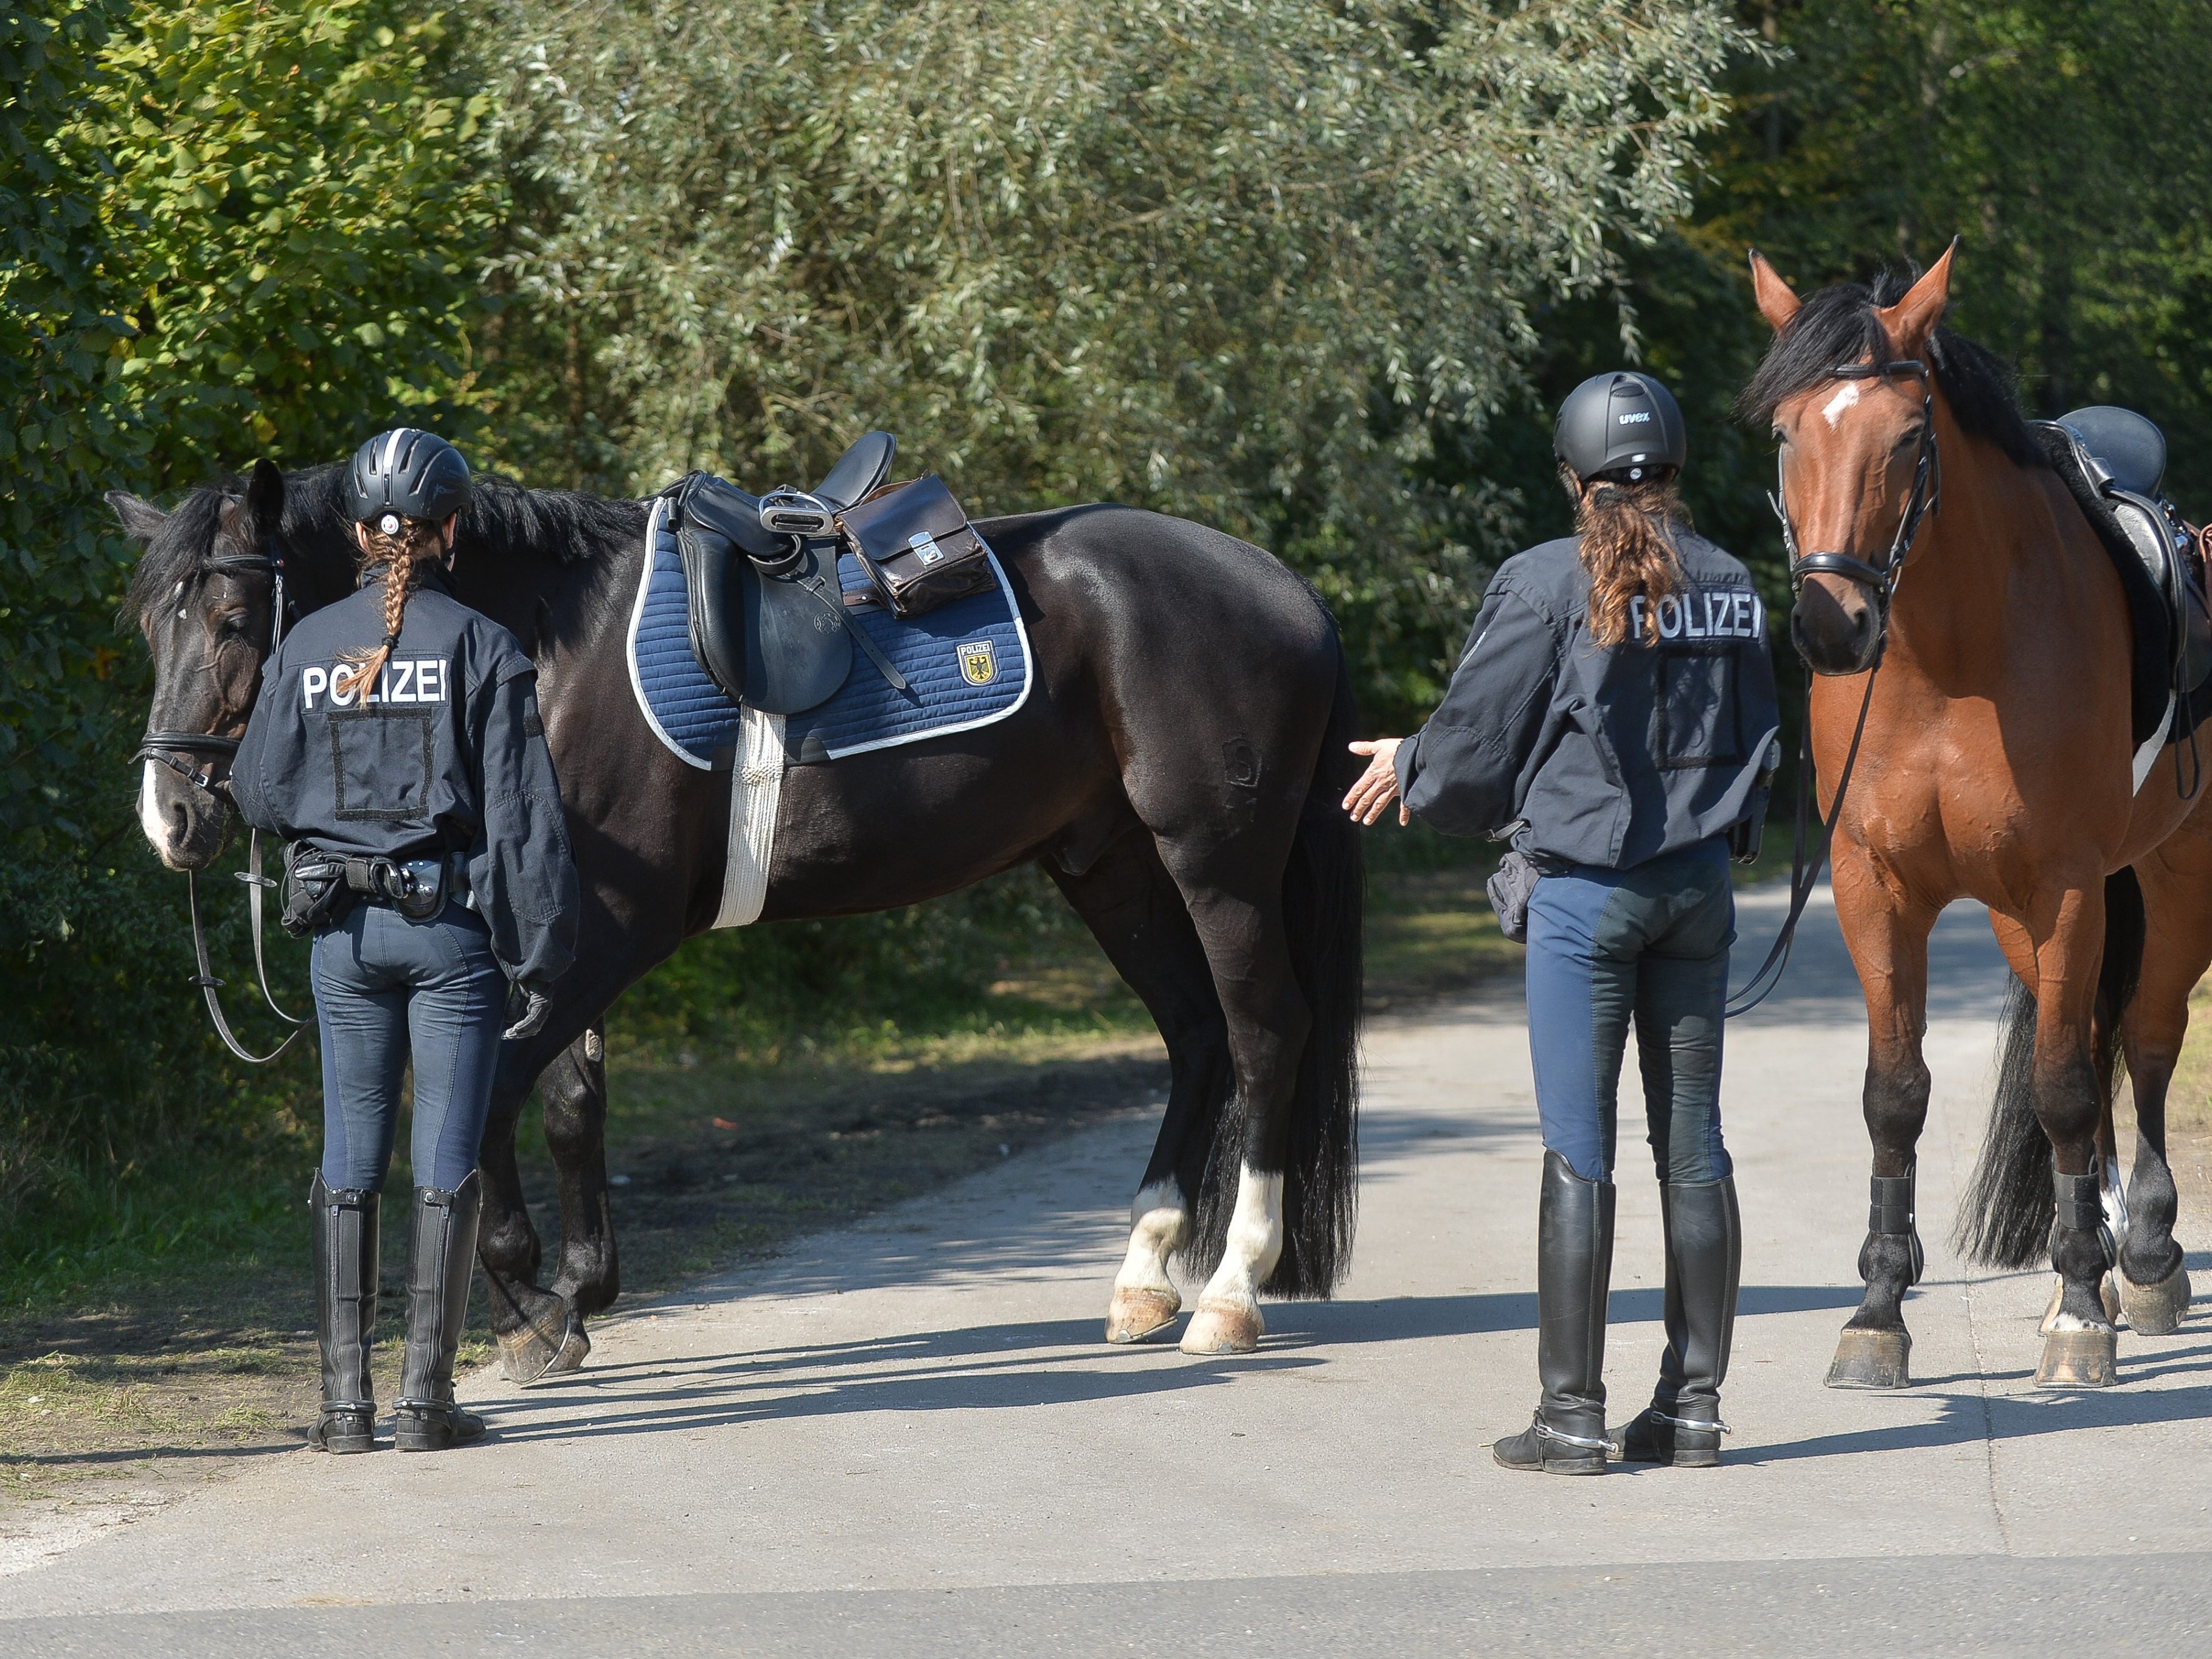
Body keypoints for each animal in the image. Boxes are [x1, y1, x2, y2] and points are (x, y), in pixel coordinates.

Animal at [125, 455, 1362, 1380]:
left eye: (231, 619)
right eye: (148, 629)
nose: (170, 815)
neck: (552, 652)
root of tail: (1286, 589)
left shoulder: (615, 927)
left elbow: (494, 1092)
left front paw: (532, 1305)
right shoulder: (562, 926)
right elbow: (567, 1101)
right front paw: (580, 1289)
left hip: (1216, 862)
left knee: (1263, 1035)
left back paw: (1231, 1292)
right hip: (1108, 864)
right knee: (1195, 1034)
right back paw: (1143, 1277)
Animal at [1752, 243, 2203, 1389]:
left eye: (1909, 439)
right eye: (1785, 433)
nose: (1830, 625)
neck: (1951, 662)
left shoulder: (2067, 886)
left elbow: (2064, 1090)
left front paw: (2081, 1318)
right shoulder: (1875, 887)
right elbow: (1895, 1093)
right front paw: (1877, 1311)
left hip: (2177, 883)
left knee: (2142, 1040)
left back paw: (2143, 1257)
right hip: (2025, 919)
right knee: (2092, 1036)